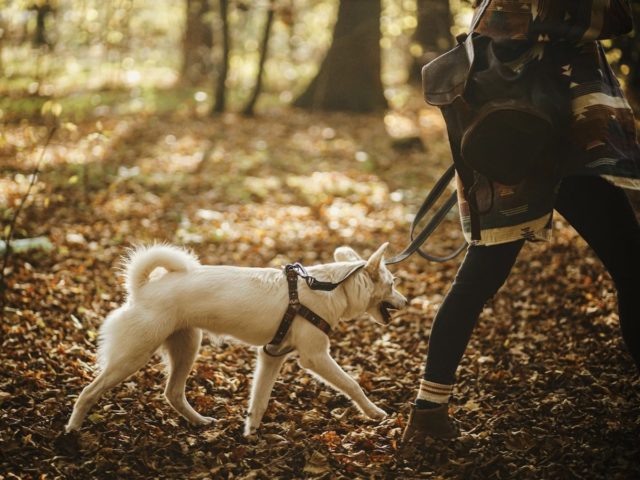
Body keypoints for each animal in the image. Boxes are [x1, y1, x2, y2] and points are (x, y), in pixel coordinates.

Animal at [65, 244, 404, 436]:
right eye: (392, 284)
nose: (406, 301)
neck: (329, 287)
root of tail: (141, 288)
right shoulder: (315, 357)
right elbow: (352, 385)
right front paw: (374, 413)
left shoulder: (272, 356)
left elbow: (259, 400)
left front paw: (250, 433)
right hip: (133, 356)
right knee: (88, 392)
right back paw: (72, 430)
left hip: (187, 346)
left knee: (173, 393)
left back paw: (199, 422)